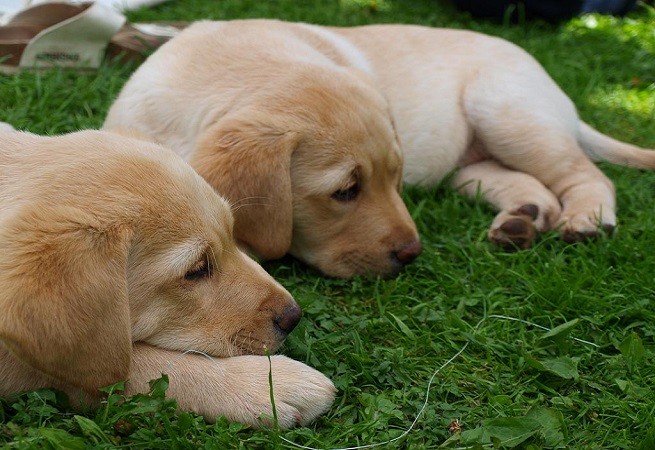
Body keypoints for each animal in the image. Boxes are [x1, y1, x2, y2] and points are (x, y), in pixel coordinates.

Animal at [105, 19, 652, 262]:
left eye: (396, 178)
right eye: (345, 191)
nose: (411, 252)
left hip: (507, 109)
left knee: (586, 174)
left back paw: (587, 219)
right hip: (470, 161)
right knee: (521, 182)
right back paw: (524, 220)